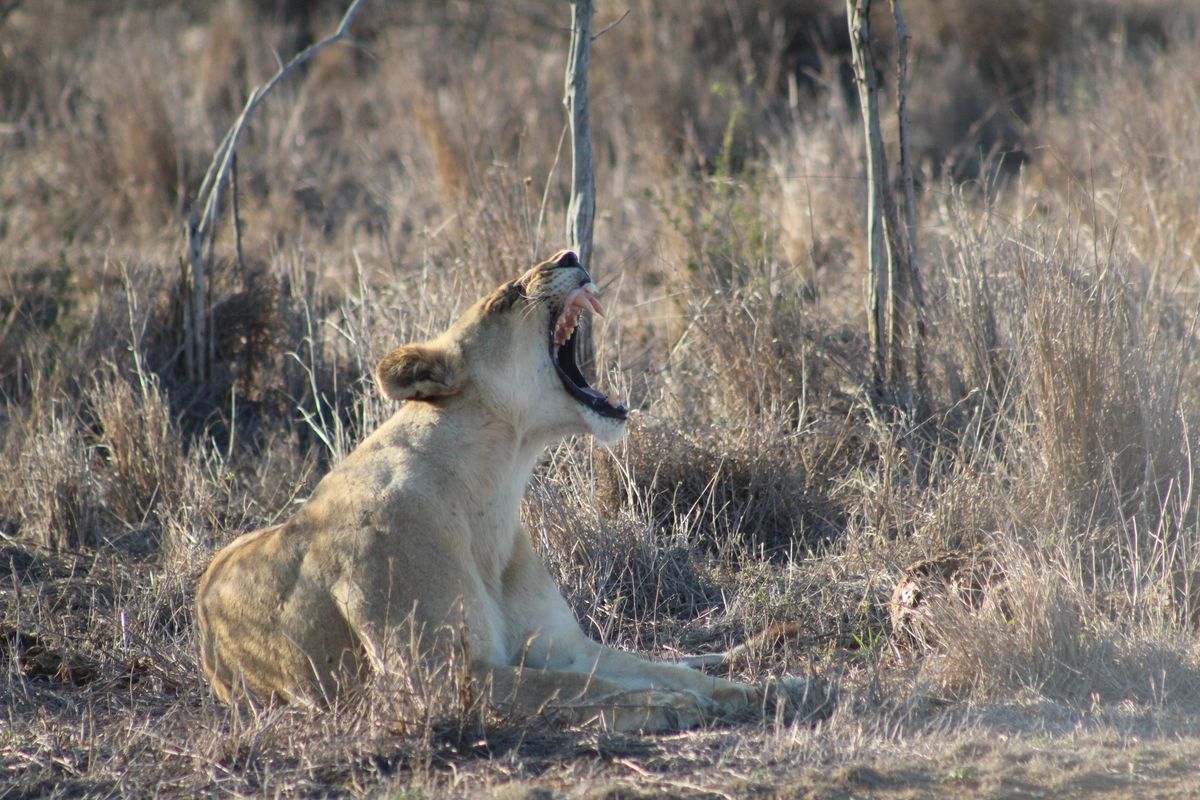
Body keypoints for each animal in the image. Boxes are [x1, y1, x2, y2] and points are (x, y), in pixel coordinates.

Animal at [195, 250, 785, 732]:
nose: (570, 253)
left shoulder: (564, 645)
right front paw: (666, 705)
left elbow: (646, 666)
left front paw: (761, 691)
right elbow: (567, 687)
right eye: (506, 297)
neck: (494, 489)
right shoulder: (436, 677)